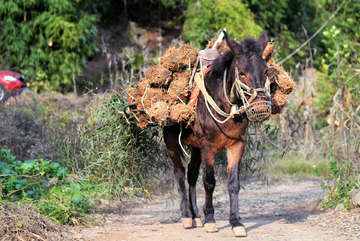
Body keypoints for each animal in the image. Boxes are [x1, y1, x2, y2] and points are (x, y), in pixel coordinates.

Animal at [163, 30, 270, 237]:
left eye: (266, 71)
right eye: (241, 72)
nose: (260, 108)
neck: (225, 104)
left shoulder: (237, 144)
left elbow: (234, 183)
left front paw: (236, 222)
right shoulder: (207, 147)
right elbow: (209, 182)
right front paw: (210, 220)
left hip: (195, 147)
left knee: (191, 175)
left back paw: (196, 215)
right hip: (172, 142)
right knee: (179, 173)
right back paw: (187, 216)